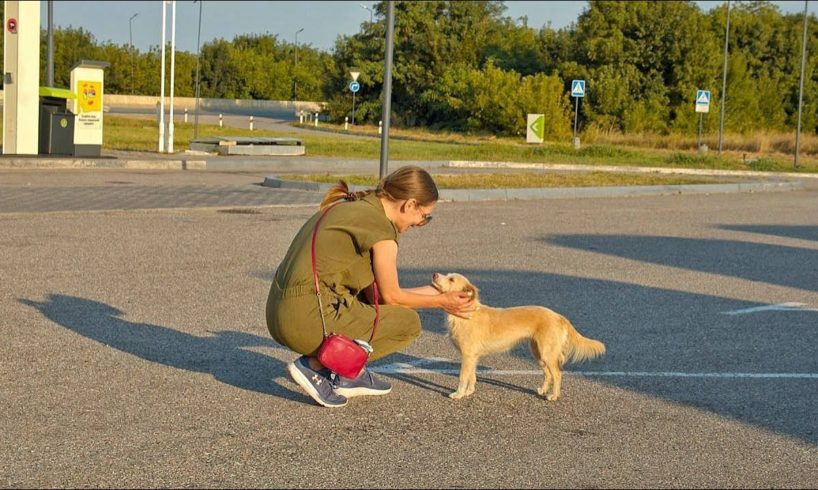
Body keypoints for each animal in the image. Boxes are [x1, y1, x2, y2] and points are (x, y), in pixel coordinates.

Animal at [430, 272, 604, 402]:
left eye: (451, 279)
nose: (434, 274)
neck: (467, 314)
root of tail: (558, 316)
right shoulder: (472, 357)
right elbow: (471, 377)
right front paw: (469, 392)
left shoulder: (467, 355)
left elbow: (462, 377)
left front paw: (458, 394)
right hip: (538, 353)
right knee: (548, 374)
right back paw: (542, 390)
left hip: (547, 354)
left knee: (557, 374)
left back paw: (553, 396)